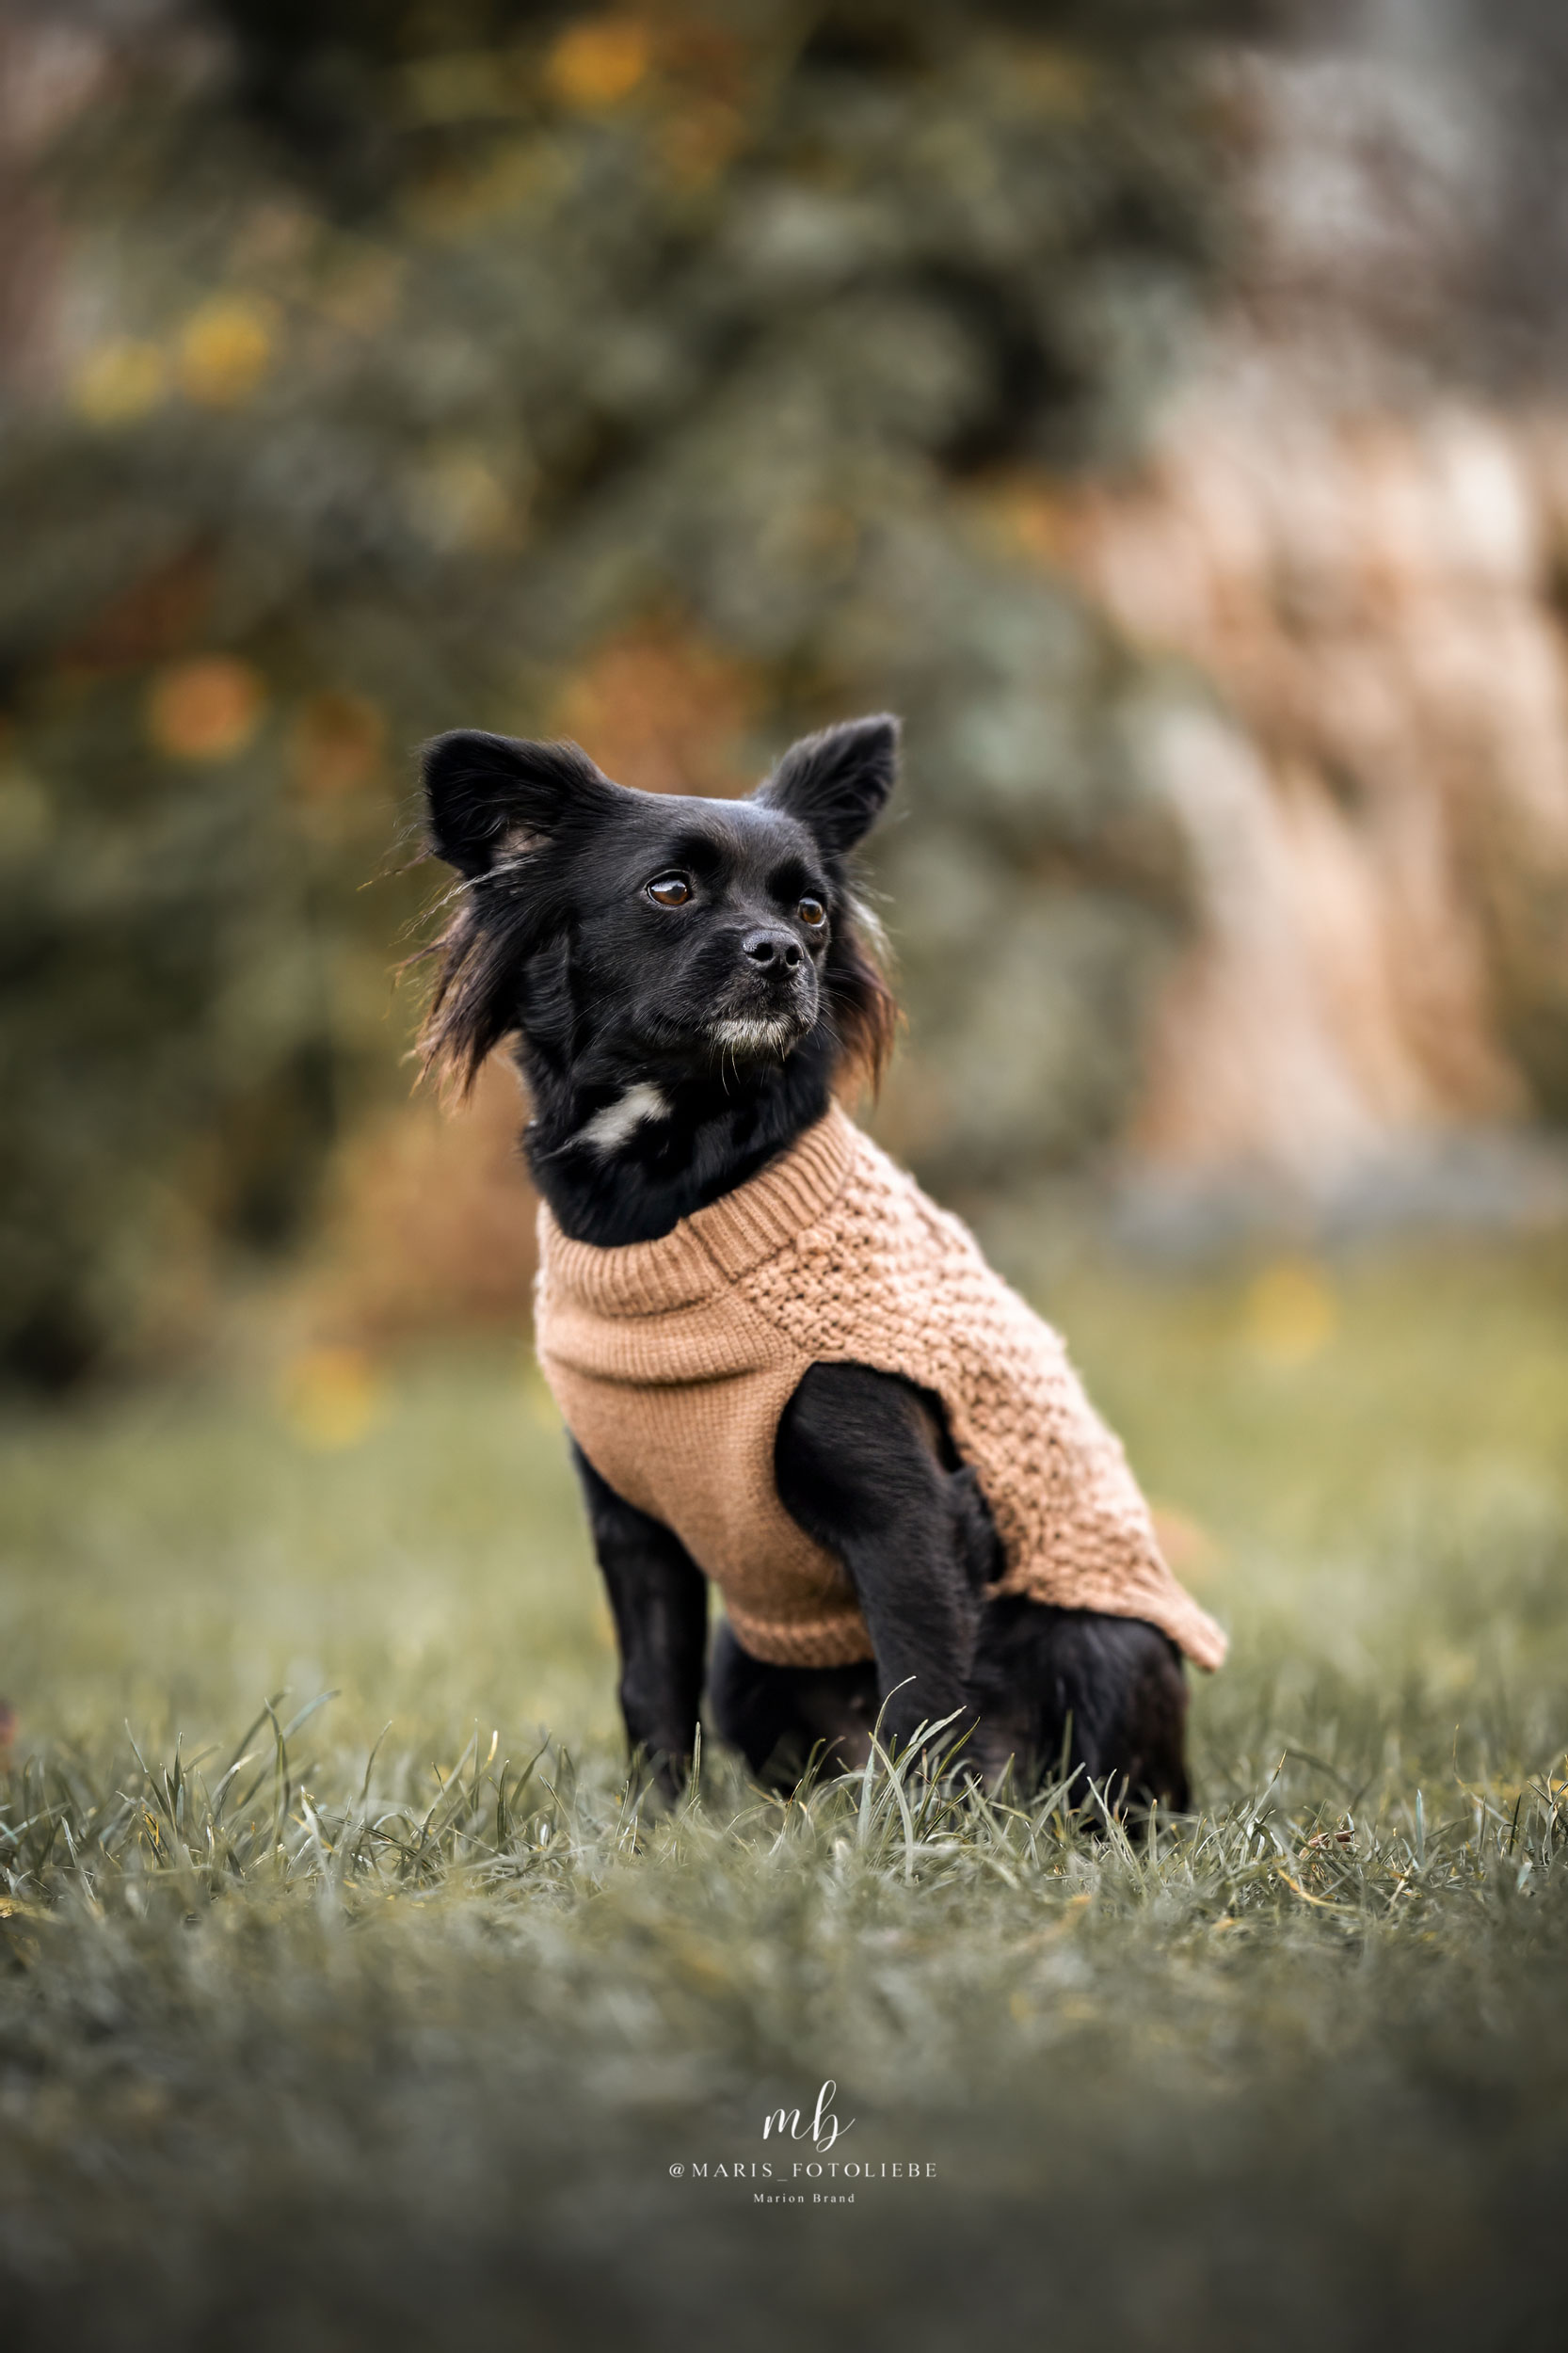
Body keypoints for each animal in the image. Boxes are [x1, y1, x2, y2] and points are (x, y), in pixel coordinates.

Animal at [418, 714, 1210, 1809]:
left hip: (1107, 1646)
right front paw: (656, 1825)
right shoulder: (635, 1530)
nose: (783, 952)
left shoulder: (909, 1516)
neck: (675, 1185)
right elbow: (648, 1689)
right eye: (670, 889)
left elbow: (924, 1698)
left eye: (811, 909)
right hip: (746, 1663)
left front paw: (922, 1836)